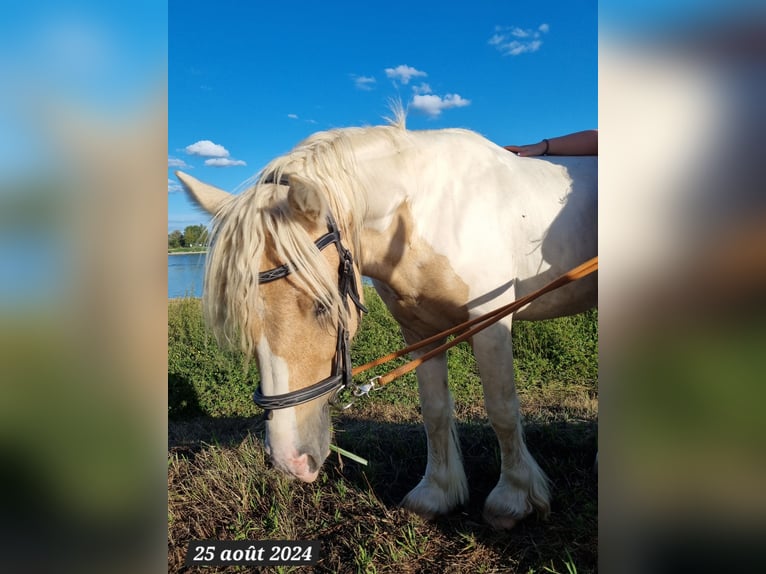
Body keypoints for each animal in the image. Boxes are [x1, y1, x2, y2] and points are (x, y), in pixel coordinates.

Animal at [176, 113, 600, 532]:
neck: (430, 212)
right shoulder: (420, 331)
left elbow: (502, 409)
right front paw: (437, 493)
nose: (289, 460)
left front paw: (513, 498)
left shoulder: (491, 322)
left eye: (323, 306)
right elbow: (434, 411)